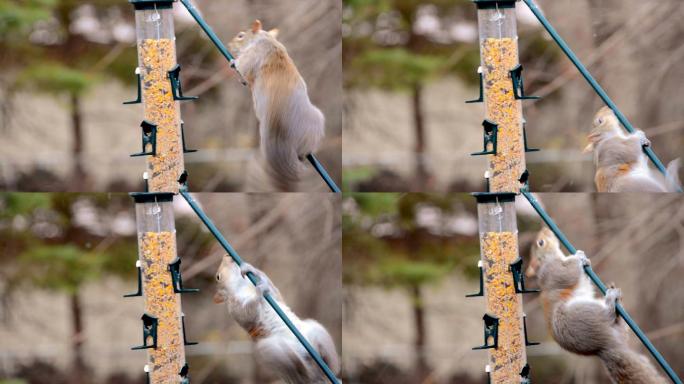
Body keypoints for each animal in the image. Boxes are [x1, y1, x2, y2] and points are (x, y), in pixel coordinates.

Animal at [214, 255, 340, 384]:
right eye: (218, 277)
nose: (226, 256)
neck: (242, 287)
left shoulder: (275, 296)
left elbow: (272, 288)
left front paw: (250, 268)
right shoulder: (236, 310)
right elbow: (248, 314)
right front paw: (258, 293)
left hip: (317, 331)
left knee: (331, 366)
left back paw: (326, 368)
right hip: (269, 349)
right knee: (297, 368)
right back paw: (301, 366)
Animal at [228, 20, 324, 191]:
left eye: (240, 36)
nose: (228, 45)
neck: (265, 39)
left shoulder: (252, 55)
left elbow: (242, 67)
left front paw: (233, 62)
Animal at [528, 230, 668, 382]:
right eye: (541, 243)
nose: (547, 230)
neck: (548, 259)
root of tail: (606, 345)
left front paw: (585, 260)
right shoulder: (553, 272)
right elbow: (568, 273)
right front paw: (578, 256)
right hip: (581, 313)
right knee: (607, 314)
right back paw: (611, 300)